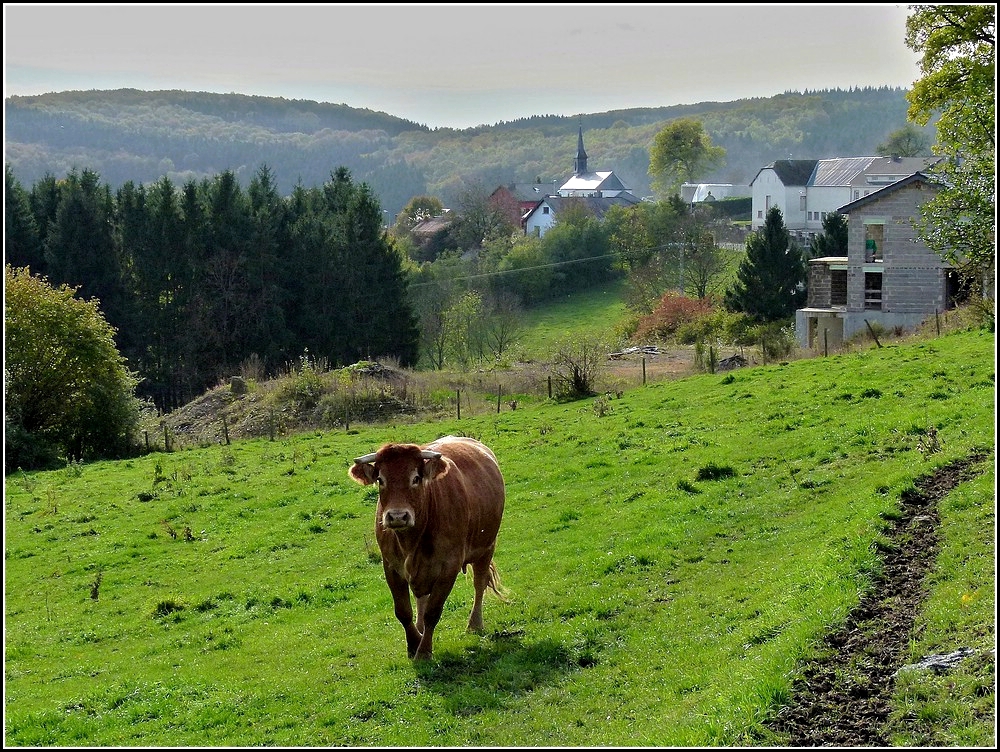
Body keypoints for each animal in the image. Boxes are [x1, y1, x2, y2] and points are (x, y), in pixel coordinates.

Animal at [352, 434, 508, 656]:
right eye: (380, 480)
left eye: (416, 478)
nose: (397, 516)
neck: (411, 542)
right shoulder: (391, 566)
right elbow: (403, 611)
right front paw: (413, 644)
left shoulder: (449, 567)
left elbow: (433, 612)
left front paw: (424, 651)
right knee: (421, 599)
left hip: (486, 546)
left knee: (480, 583)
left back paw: (475, 624)